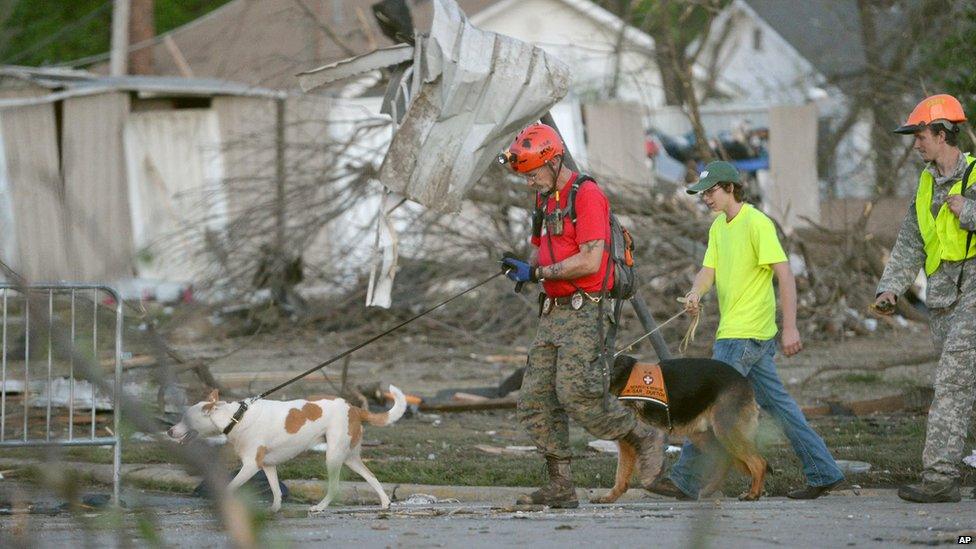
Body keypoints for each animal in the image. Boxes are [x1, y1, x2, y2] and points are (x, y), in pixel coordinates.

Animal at [168, 386, 404, 510]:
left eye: (185, 418)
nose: (169, 431)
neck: (235, 417)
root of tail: (353, 407)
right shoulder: (267, 466)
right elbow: (275, 491)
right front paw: (274, 509)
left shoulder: (250, 466)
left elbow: (229, 487)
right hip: (349, 457)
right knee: (371, 476)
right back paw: (385, 502)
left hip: (333, 456)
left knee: (335, 487)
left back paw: (320, 507)